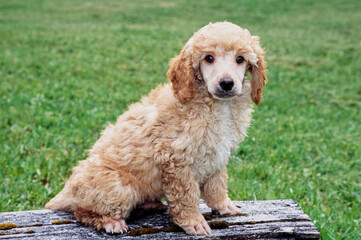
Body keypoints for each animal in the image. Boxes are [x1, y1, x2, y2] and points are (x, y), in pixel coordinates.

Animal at [45, 21, 266, 236]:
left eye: (240, 59)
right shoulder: (176, 159)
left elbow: (217, 185)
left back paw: (149, 204)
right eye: (209, 58)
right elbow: (187, 195)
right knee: (82, 211)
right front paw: (193, 222)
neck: (218, 105)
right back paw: (111, 222)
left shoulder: (217, 155)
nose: (226, 83)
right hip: (120, 187)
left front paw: (224, 206)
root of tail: (67, 191)